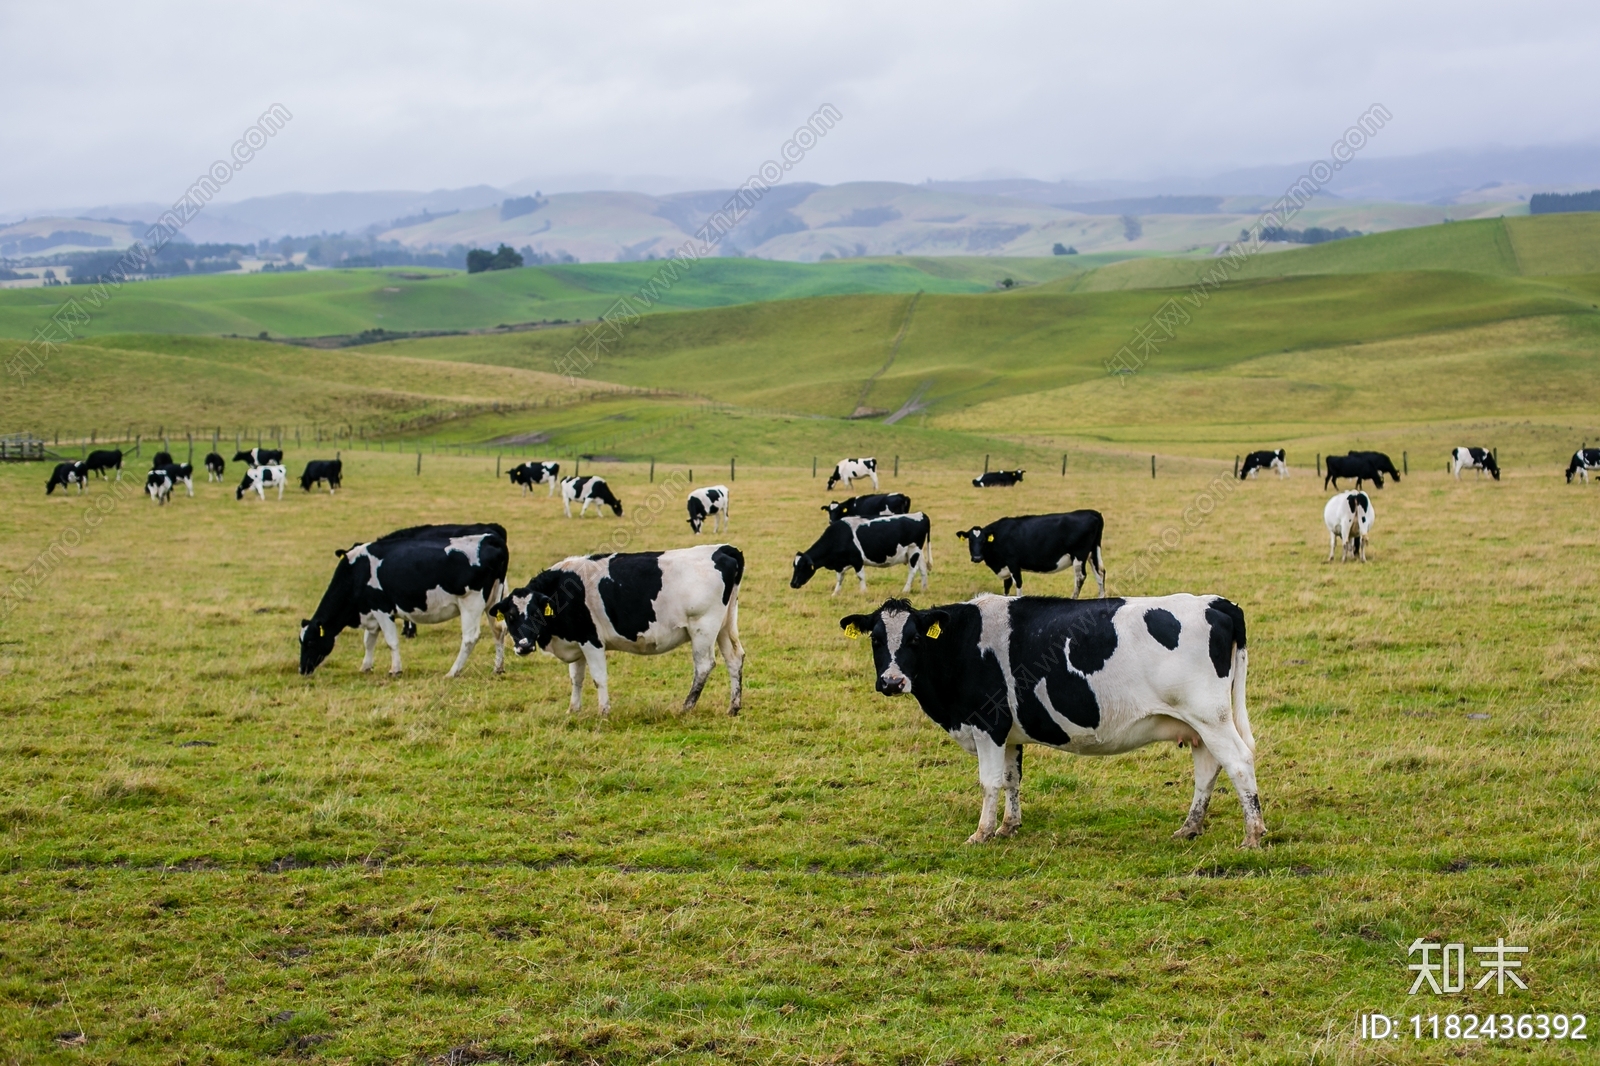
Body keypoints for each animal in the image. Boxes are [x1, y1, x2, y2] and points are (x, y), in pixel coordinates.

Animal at [296, 521, 505, 675]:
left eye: (310, 642)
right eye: (301, 641)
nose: (302, 669)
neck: (356, 573)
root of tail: (491, 538)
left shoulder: (381, 608)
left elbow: (391, 641)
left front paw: (395, 670)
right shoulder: (370, 612)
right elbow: (369, 641)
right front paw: (365, 667)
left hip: (471, 602)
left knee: (470, 637)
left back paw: (453, 671)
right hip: (493, 601)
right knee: (498, 630)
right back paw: (498, 668)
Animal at [489, 541, 745, 713]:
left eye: (535, 613)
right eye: (510, 616)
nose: (523, 646)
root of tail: (723, 549)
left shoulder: (591, 641)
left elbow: (598, 678)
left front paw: (604, 711)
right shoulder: (576, 641)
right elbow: (576, 679)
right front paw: (573, 710)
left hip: (703, 627)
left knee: (703, 666)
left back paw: (686, 707)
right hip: (724, 626)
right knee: (734, 658)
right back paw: (733, 707)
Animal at [790, 512, 934, 592]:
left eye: (802, 567)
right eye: (794, 566)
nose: (793, 584)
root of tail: (920, 514)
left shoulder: (857, 559)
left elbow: (860, 576)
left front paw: (864, 592)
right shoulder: (840, 564)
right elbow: (840, 578)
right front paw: (835, 593)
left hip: (913, 550)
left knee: (913, 570)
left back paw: (905, 590)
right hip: (917, 552)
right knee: (923, 569)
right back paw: (924, 589)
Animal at [838, 589, 1260, 845]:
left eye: (914, 638)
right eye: (876, 638)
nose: (892, 682)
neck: (961, 645)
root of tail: (1217, 603)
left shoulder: (988, 725)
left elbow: (989, 782)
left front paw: (981, 833)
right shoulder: (1009, 734)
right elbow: (1012, 779)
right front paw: (1008, 826)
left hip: (1210, 716)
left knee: (1239, 762)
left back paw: (1253, 835)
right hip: (1198, 725)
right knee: (1208, 769)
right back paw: (1189, 828)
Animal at [953, 508, 1107, 592]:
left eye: (984, 541)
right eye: (970, 540)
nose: (977, 558)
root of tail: (1092, 513)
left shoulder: (1013, 563)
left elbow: (1018, 584)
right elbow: (1007, 587)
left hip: (1079, 555)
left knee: (1080, 577)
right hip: (1092, 552)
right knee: (1100, 573)